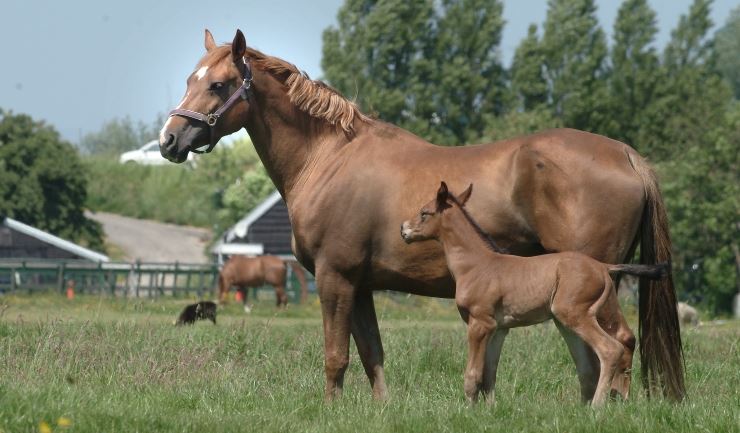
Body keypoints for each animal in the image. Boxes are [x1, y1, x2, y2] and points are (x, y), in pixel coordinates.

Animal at [401, 182, 669, 405]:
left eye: (425, 212)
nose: (404, 229)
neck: (477, 264)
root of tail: (604, 267)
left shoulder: (479, 323)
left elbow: (473, 375)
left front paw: (468, 411)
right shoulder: (499, 328)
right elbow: (489, 374)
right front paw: (490, 411)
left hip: (574, 314)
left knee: (610, 349)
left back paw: (596, 407)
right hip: (577, 318)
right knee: (602, 357)